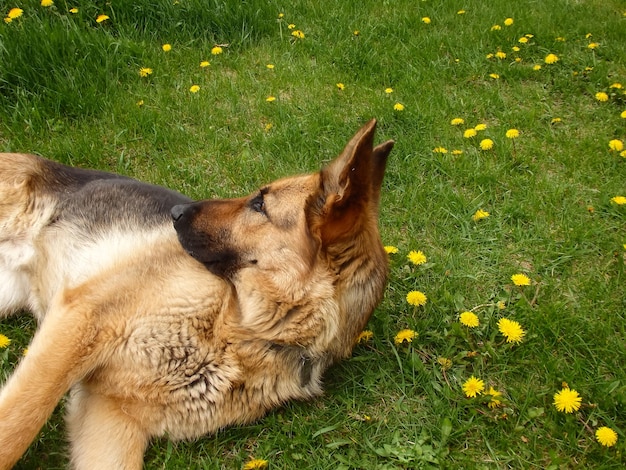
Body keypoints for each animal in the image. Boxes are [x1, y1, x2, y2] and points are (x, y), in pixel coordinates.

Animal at [0, 120, 390, 466]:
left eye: (259, 206)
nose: (175, 211)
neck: (242, 333)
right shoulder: (81, 320)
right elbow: (17, 426)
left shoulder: (109, 412)